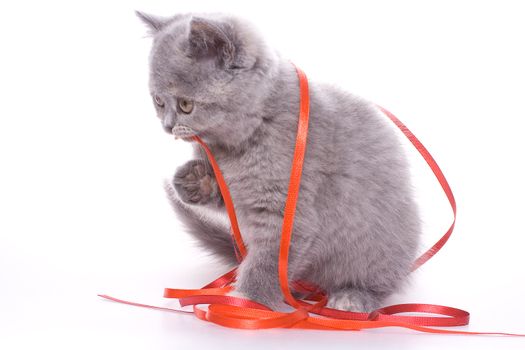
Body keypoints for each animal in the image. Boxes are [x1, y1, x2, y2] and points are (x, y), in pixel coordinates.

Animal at [136, 11, 422, 312]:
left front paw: (245, 302)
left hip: (381, 248)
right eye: (158, 102)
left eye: (185, 105)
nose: (167, 126)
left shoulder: (288, 213)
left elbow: (267, 265)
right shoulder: (237, 195)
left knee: (379, 282)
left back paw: (351, 297)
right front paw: (194, 180)